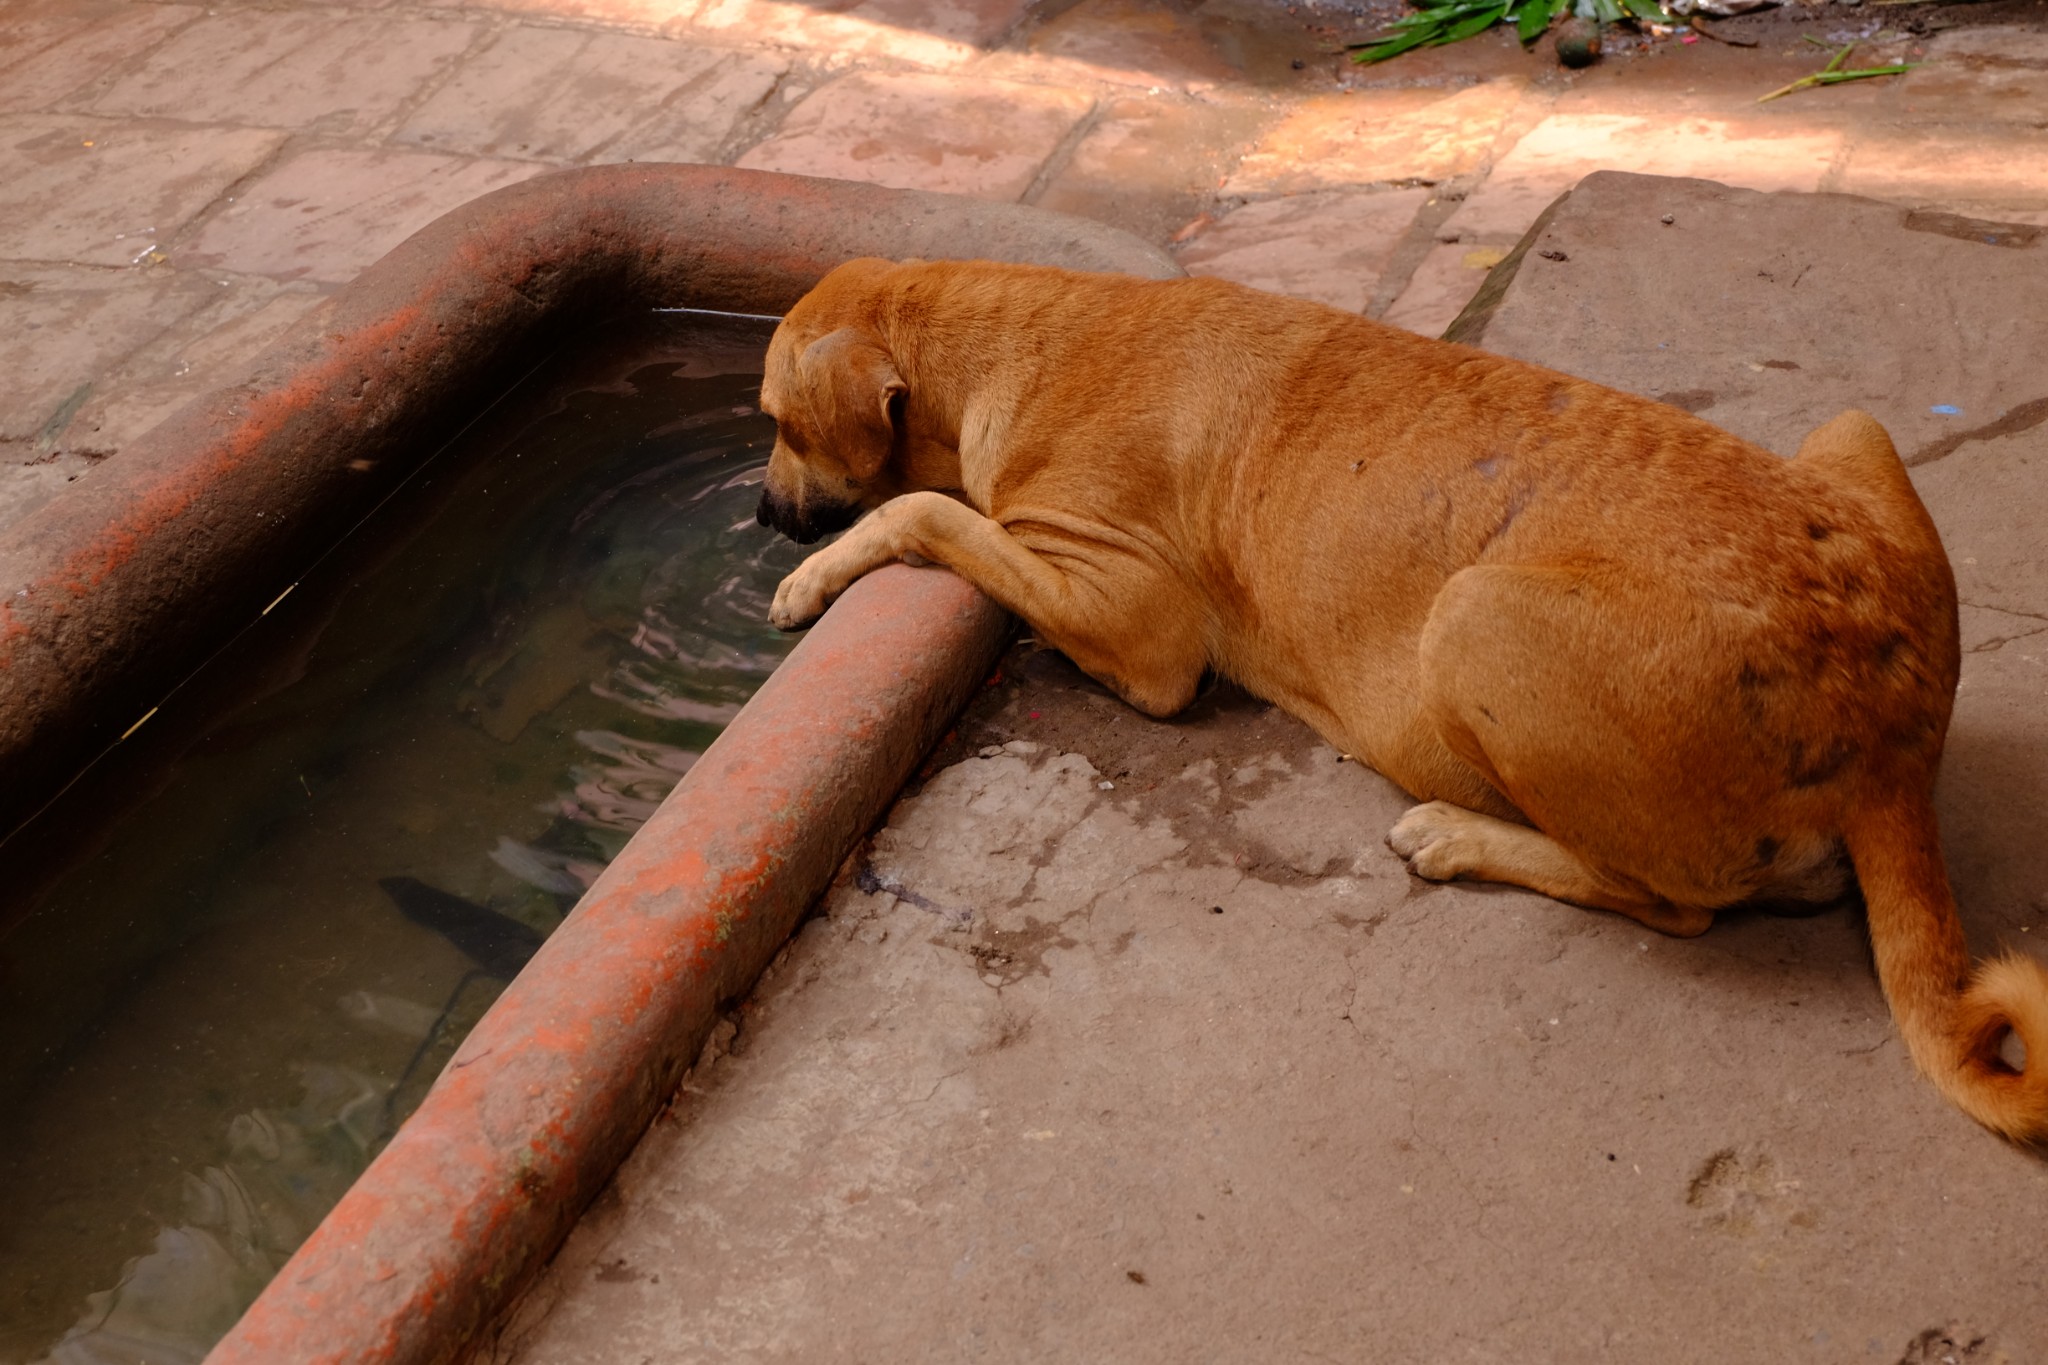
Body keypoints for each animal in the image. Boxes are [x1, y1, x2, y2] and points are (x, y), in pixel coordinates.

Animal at [753, 255, 2048, 1146]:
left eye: (771, 423)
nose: (761, 513)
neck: (1017, 331)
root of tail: (1887, 729)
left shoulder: (1129, 611)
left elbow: (924, 513)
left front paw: (814, 577)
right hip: (1852, 436)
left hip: (1473, 619)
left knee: (1672, 906)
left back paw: (1457, 836)